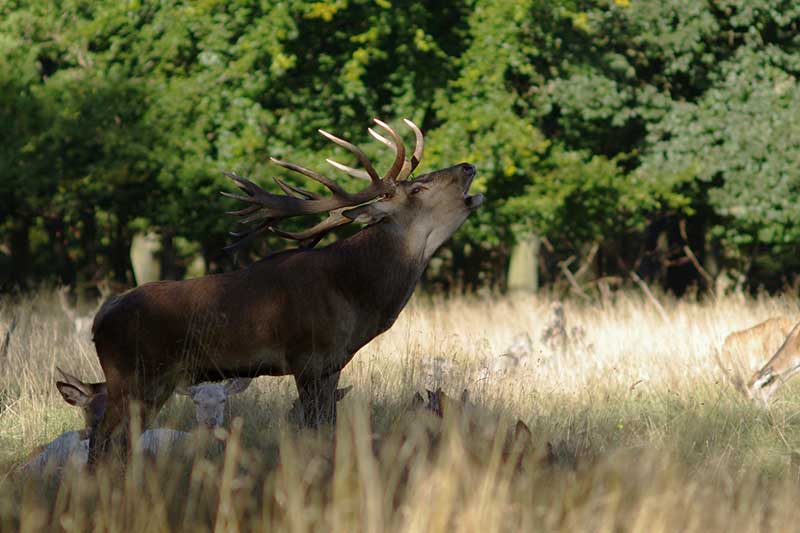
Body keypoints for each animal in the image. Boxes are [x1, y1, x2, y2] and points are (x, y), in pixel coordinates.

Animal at [87, 117, 482, 466]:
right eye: (417, 188)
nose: (468, 166)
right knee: (102, 440)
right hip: (130, 373)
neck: (356, 295)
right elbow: (314, 428)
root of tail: (99, 320)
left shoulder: (333, 364)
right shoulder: (308, 356)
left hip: (156, 381)